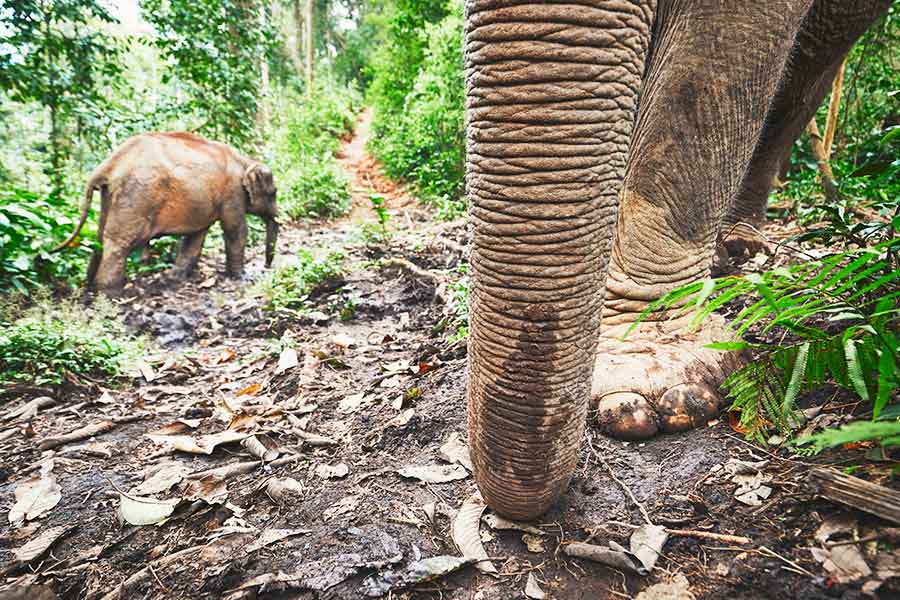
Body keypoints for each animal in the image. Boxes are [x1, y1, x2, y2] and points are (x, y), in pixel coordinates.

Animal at [54, 132, 279, 293]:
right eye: (273, 193)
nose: (267, 268)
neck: (245, 160)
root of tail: (109, 165)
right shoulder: (232, 193)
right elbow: (235, 229)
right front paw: (244, 278)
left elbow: (196, 236)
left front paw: (175, 278)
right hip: (137, 194)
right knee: (119, 242)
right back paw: (110, 293)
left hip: (110, 196)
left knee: (100, 236)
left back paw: (90, 287)